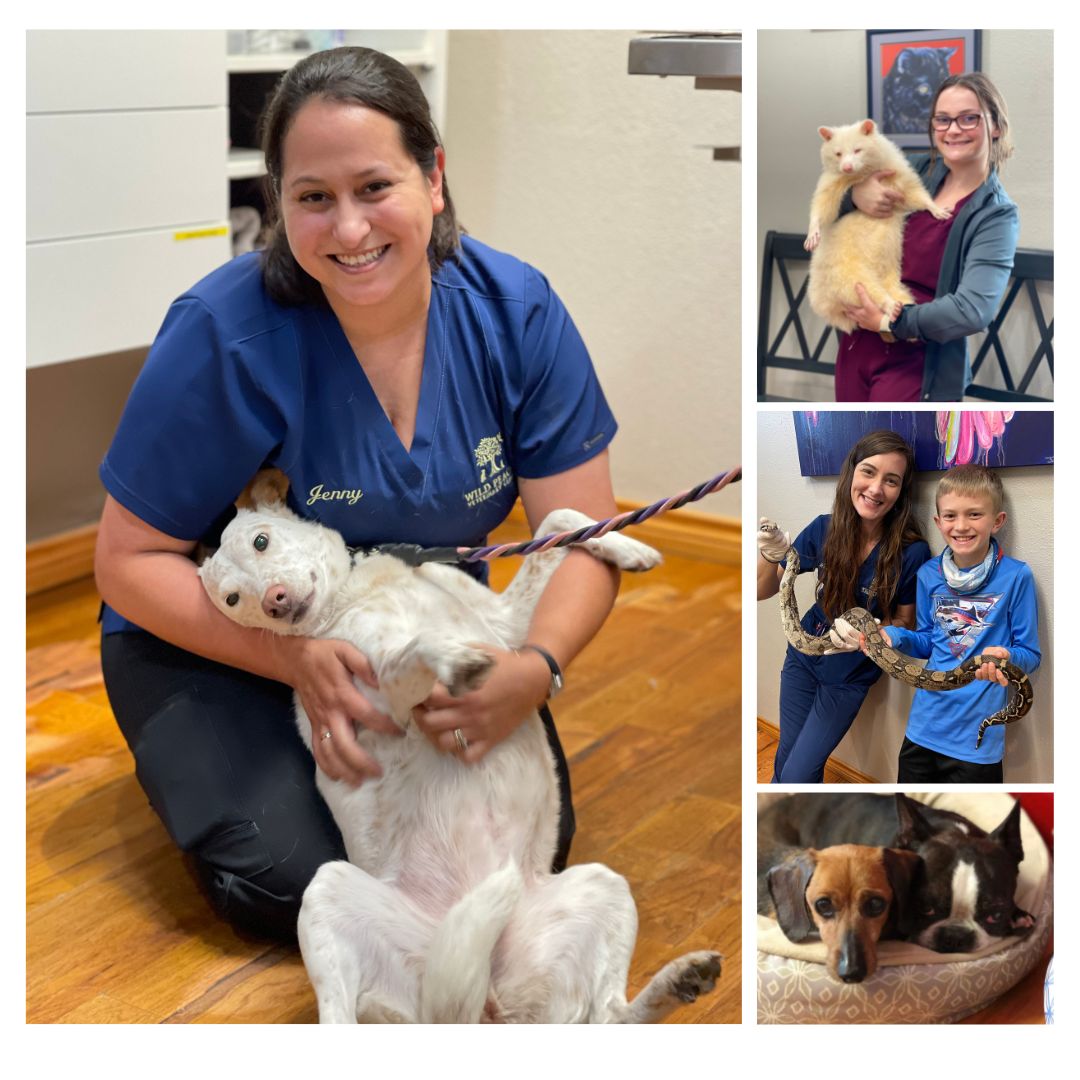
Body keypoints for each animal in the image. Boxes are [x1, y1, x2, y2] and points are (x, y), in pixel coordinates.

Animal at [198, 486, 721, 1023]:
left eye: (261, 541)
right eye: (232, 599)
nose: (273, 602)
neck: (357, 594)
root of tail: (486, 1004)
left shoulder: (509, 626)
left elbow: (559, 521)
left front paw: (628, 546)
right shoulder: (384, 698)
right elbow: (409, 653)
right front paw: (451, 658)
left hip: (603, 887)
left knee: (614, 1016)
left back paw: (679, 980)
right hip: (326, 894)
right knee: (338, 1017)